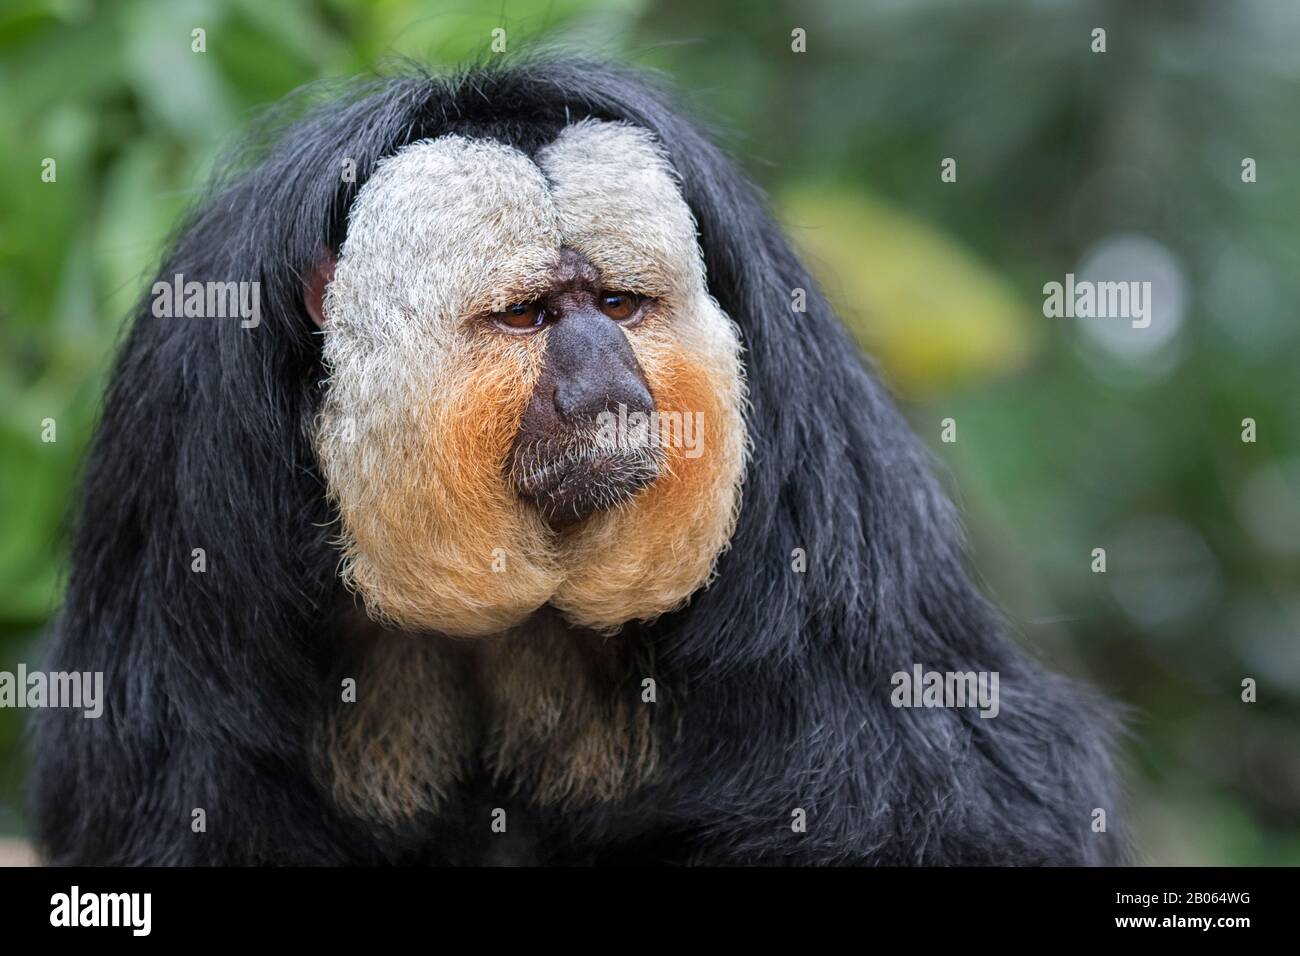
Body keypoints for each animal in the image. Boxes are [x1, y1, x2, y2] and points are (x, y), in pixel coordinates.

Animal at [30, 58, 1125, 866]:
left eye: (618, 305)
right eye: (528, 316)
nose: (609, 384)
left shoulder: (806, 427)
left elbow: (960, 795)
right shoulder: (188, 433)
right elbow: (187, 796)